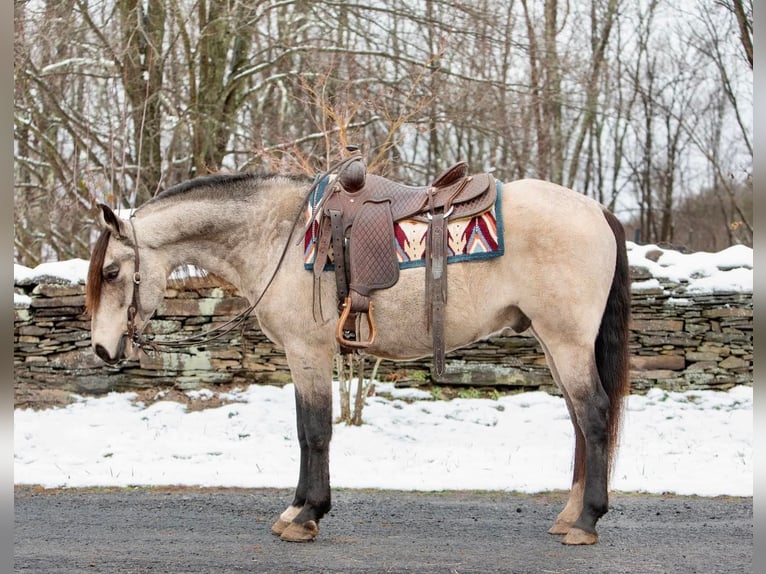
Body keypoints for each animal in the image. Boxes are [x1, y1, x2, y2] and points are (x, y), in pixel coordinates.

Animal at [87, 160, 632, 548]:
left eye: (112, 272)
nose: (102, 349)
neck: (279, 234)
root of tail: (599, 213)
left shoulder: (308, 351)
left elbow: (314, 432)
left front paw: (307, 515)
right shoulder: (305, 356)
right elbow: (307, 432)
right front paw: (297, 510)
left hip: (566, 340)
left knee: (594, 416)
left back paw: (586, 521)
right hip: (554, 342)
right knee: (579, 422)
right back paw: (568, 516)